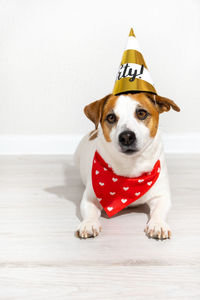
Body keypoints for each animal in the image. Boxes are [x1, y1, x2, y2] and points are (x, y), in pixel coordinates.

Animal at [74, 91, 180, 239]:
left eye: (141, 113)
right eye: (111, 117)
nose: (126, 136)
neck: (130, 168)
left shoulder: (161, 196)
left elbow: (159, 210)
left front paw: (157, 224)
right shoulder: (90, 198)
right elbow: (89, 210)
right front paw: (89, 223)